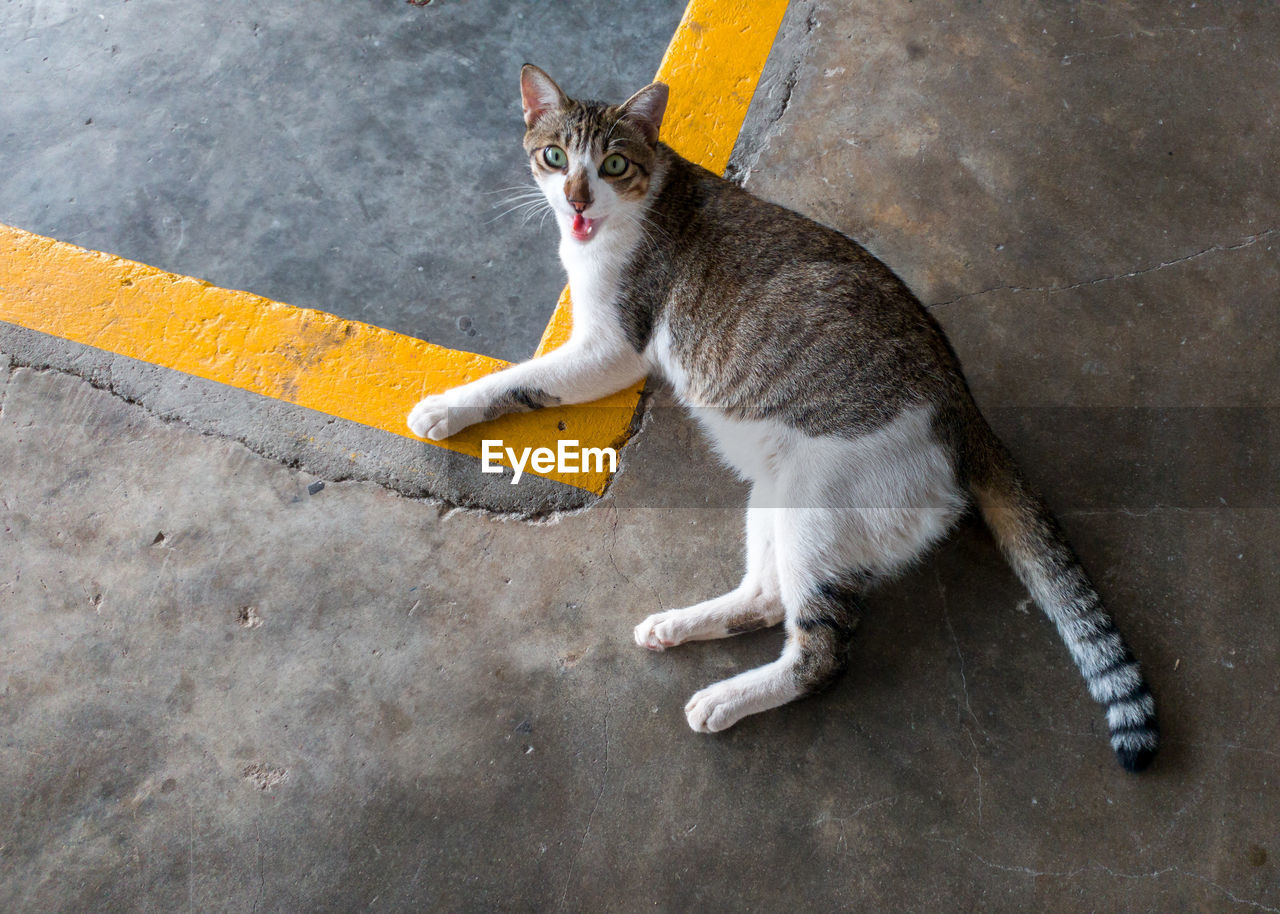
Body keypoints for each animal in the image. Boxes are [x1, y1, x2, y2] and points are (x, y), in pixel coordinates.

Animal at [407, 64, 1162, 768]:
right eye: (555, 156)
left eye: (613, 164)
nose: (576, 199)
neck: (631, 208)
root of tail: (965, 411)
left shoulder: (610, 346)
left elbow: (521, 380)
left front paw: (444, 407)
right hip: (775, 487)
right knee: (769, 597)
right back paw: (678, 626)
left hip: (818, 502)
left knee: (821, 654)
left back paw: (724, 700)